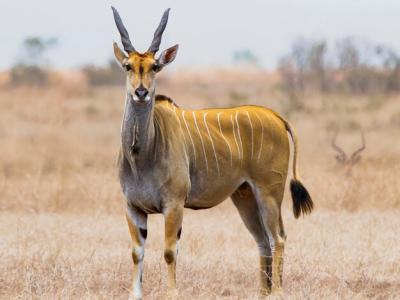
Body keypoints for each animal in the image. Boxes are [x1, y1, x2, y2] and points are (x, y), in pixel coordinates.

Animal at [111, 6, 314, 298]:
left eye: (155, 67)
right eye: (128, 66)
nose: (141, 92)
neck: (141, 153)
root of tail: (276, 116)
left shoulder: (174, 205)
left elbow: (170, 252)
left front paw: (172, 293)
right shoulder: (133, 207)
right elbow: (137, 253)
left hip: (269, 193)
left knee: (278, 238)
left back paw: (276, 291)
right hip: (244, 197)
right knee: (263, 241)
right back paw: (263, 292)